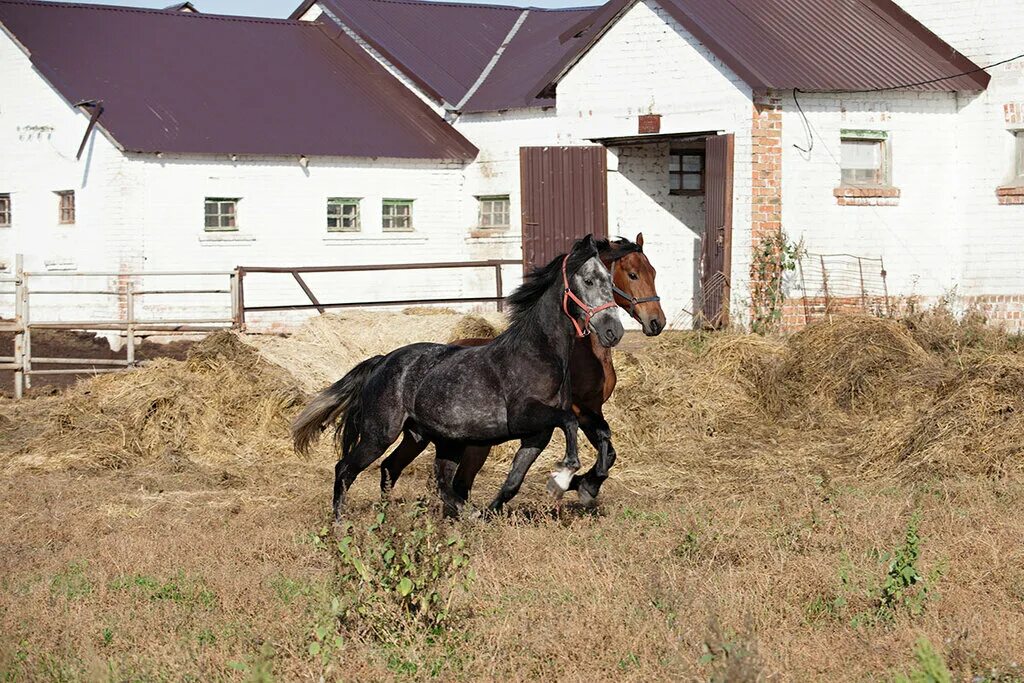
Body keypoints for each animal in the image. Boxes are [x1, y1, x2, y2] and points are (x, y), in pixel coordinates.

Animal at [288, 235, 622, 518]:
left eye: (610, 281)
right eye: (589, 280)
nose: (613, 331)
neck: (537, 354)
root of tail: (382, 361)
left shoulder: (536, 435)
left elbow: (513, 483)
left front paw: (580, 485)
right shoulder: (526, 417)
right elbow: (569, 421)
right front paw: (563, 478)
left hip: (430, 438)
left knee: (403, 471)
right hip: (378, 434)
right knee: (346, 469)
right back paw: (340, 522)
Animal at [380, 233, 667, 511]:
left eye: (654, 272)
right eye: (633, 274)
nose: (656, 322)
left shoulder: (593, 409)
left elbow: (608, 450)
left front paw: (582, 484)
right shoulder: (581, 411)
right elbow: (602, 449)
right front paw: (579, 484)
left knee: (398, 467)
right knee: (439, 476)